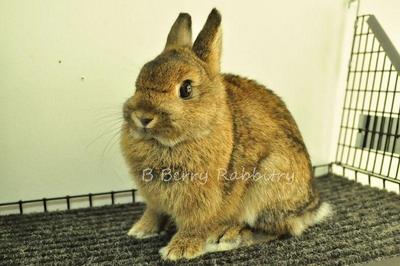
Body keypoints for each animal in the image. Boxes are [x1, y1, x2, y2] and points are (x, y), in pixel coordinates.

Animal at [120, 7, 332, 260]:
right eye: (139, 80)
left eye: (186, 89)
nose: (142, 117)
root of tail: (312, 206)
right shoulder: (154, 200)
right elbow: (154, 212)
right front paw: (140, 230)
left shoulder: (202, 201)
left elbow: (194, 225)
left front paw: (178, 250)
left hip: (267, 181)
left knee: (277, 229)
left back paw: (225, 237)